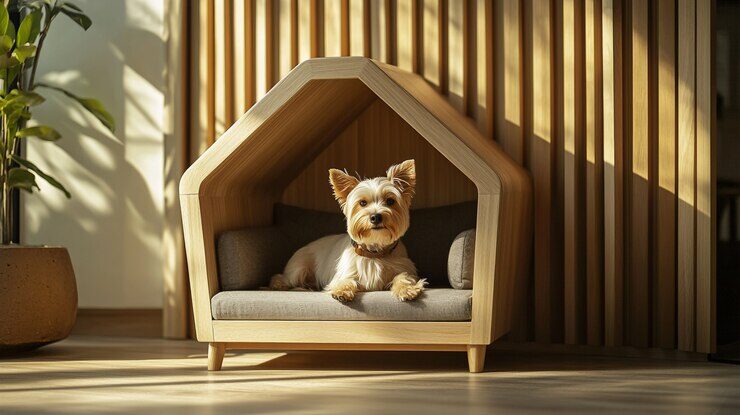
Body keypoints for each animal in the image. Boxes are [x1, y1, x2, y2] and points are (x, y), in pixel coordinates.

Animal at [268, 160, 424, 302]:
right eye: (362, 203)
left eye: (390, 201)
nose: (375, 217)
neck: (374, 252)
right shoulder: (344, 273)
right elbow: (345, 280)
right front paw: (341, 291)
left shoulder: (404, 267)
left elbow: (403, 276)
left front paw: (406, 289)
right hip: (299, 269)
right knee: (284, 277)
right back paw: (278, 284)